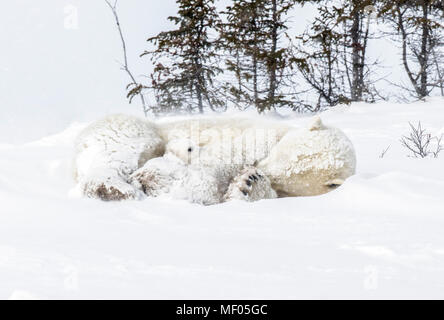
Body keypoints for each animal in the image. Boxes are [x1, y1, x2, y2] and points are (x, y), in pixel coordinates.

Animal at [73, 114, 358, 205]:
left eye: (288, 176)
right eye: (279, 154)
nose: (258, 168)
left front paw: (247, 184)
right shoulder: (255, 136)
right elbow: (220, 158)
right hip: (129, 131)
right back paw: (114, 187)